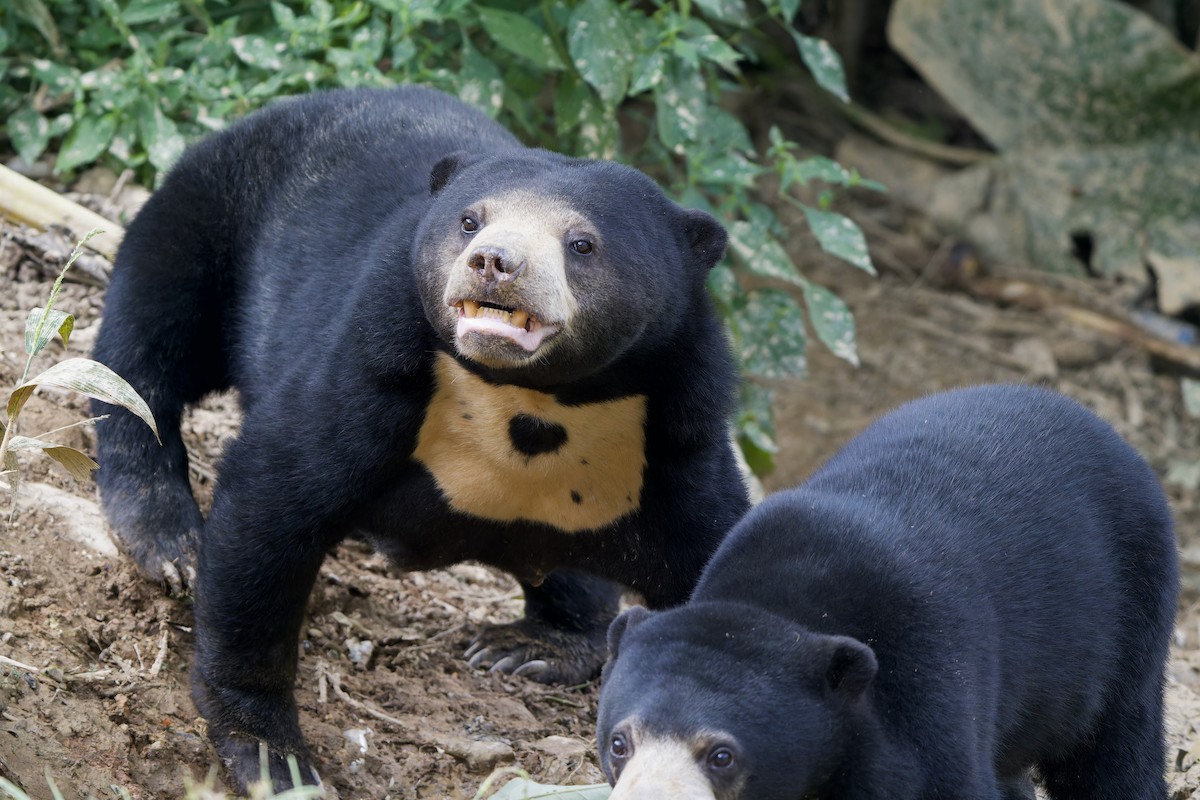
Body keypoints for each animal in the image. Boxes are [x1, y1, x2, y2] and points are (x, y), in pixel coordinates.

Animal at [89, 85, 750, 790]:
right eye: (469, 220)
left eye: (581, 244)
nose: (494, 263)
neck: (534, 399)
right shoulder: (376, 364)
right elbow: (275, 503)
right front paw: (273, 756)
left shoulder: (677, 436)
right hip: (213, 206)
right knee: (148, 339)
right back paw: (168, 537)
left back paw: (526, 648)